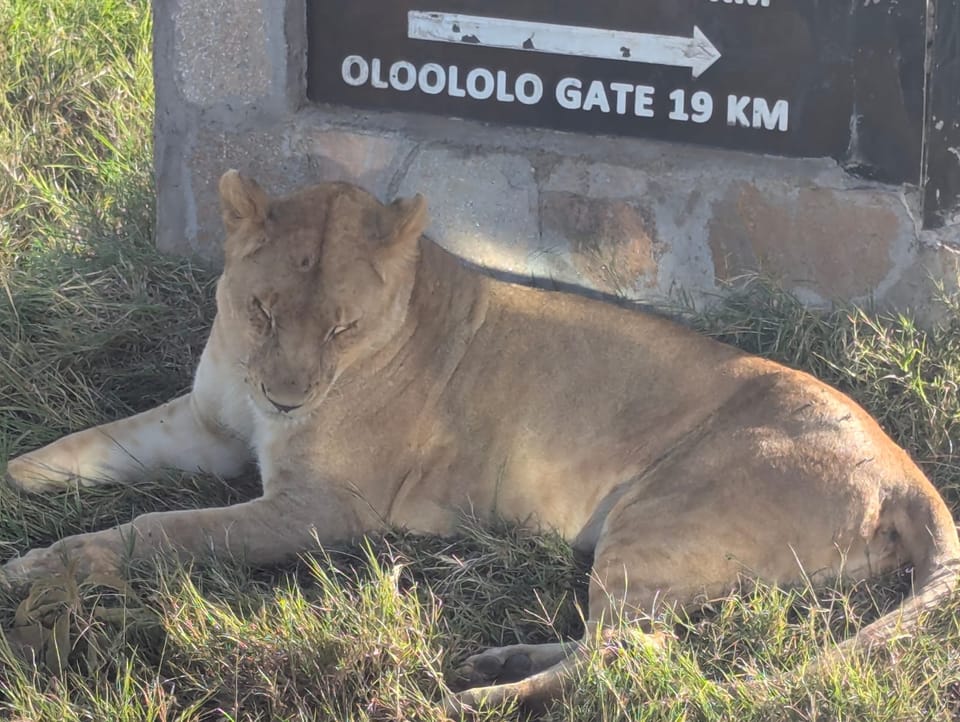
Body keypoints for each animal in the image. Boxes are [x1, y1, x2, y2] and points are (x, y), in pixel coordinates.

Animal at [4, 170, 959, 712]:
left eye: (343, 327)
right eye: (263, 310)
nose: (284, 398)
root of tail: (904, 468)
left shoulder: (321, 508)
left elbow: (167, 531)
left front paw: (45, 565)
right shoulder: (207, 425)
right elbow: (97, 442)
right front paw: (18, 477)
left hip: (663, 515)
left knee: (632, 659)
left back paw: (462, 702)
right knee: (626, 644)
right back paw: (494, 659)